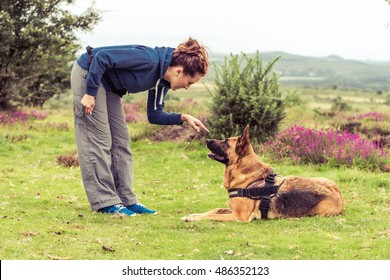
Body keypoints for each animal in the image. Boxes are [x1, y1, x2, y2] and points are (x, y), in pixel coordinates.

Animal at [181, 126, 342, 222]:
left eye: (226, 142)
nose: (207, 139)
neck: (245, 173)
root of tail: (340, 196)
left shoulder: (239, 216)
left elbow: (212, 215)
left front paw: (192, 218)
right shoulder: (231, 210)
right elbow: (215, 210)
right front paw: (192, 215)